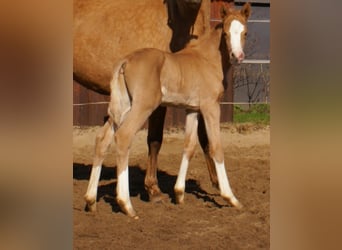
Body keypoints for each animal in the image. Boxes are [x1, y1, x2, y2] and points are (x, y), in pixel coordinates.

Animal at [85, 2, 251, 218]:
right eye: (225, 33)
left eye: (245, 33)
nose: (237, 56)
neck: (206, 60)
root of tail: (125, 61)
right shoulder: (210, 107)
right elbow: (216, 147)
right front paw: (231, 198)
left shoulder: (192, 109)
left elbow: (189, 146)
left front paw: (179, 194)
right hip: (142, 107)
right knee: (123, 137)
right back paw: (126, 205)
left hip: (121, 108)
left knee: (102, 140)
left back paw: (90, 201)